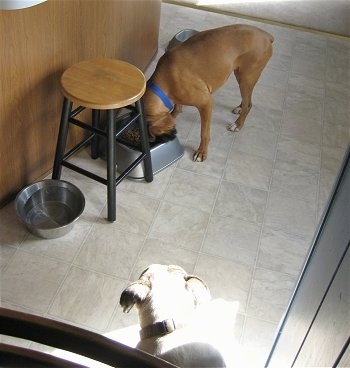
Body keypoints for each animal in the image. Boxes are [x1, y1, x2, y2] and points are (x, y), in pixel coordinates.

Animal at [143, 23, 274, 161]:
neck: (164, 82)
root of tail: (266, 36)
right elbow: (177, 108)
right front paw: (174, 114)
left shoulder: (206, 103)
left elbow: (204, 133)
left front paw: (201, 152)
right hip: (239, 74)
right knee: (246, 99)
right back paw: (239, 108)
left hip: (246, 78)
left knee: (248, 104)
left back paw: (237, 124)